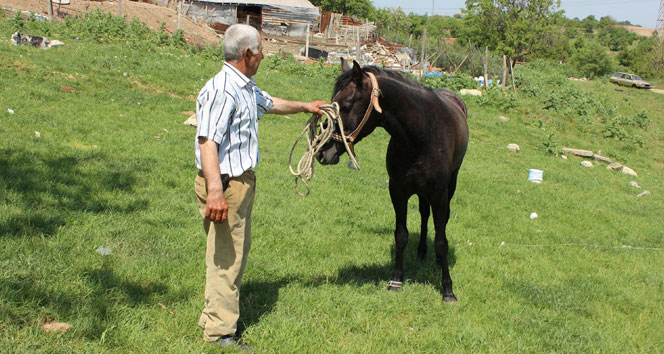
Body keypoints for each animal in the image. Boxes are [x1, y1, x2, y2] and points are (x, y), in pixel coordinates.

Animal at [318, 60, 470, 302]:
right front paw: (396, 280)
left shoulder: (438, 193)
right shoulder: (397, 190)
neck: (421, 135)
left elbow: (441, 241)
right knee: (424, 214)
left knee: (441, 221)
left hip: (450, 185)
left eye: (347, 105)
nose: (323, 152)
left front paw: (448, 290)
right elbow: (401, 235)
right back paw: (421, 252)